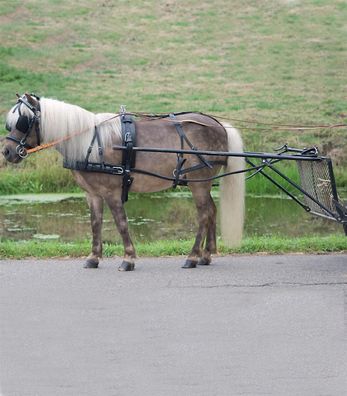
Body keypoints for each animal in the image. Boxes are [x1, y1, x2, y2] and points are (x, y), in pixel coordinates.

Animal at [2, 94, 245, 270]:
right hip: (203, 182)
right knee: (211, 211)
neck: (91, 143)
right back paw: (206, 255)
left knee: (203, 214)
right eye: (10, 124)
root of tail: (218, 124)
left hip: (198, 183)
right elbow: (95, 224)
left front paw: (128, 259)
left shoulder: (112, 192)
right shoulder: (92, 194)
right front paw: (93, 258)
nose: (6, 152)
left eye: (23, 122)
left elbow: (121, 223)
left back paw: (192, 257)